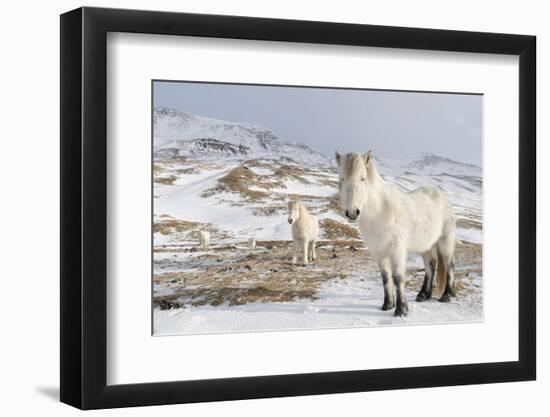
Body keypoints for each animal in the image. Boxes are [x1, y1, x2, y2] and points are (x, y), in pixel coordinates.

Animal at [336, 150, 458, 316]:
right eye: (342, 178)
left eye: (362, 178)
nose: (352, 213)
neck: (381, 211)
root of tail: (441, 194)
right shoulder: (379, 252)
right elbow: (386, 277)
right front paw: (387, 305)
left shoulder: (397, 250)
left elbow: (398, 277)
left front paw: (401, 310)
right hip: (425, 245)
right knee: (430, 265)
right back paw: (423, 295)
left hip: (445, 241)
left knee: (449, 264)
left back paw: (446, 295)